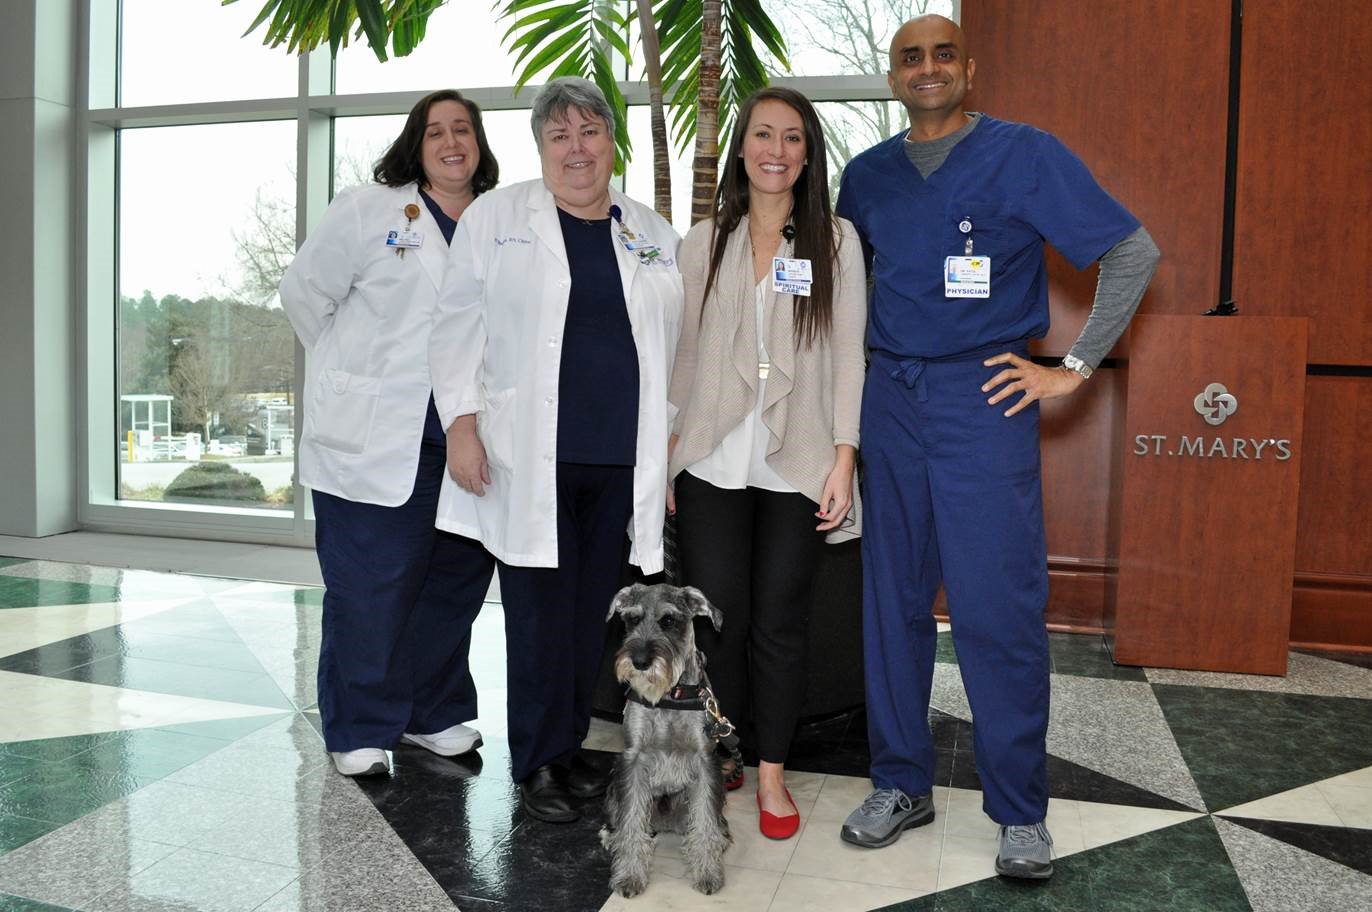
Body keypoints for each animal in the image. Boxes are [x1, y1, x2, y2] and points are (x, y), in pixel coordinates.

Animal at [598, 584, 735, 894]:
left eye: (669, 621)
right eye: (632, 619)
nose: (639, 662)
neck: (670, 696)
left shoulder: (706, 761)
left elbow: (705, 819)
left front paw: (708, 873)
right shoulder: (632, 760)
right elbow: (631, 819)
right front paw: (629, 875)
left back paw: (720, 837)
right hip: (613, 786)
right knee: (622, 818)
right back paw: (613, 836)